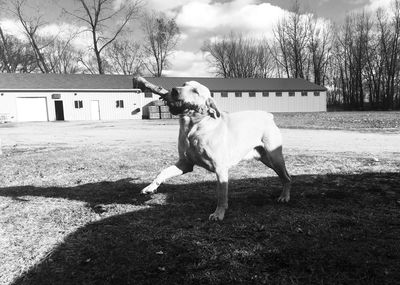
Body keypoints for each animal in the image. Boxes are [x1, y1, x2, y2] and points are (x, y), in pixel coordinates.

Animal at [142, 80, 292, 220]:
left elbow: (221, 195)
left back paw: (284, 196)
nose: (174, 90)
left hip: (275, 157)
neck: (193, 128)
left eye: (195, 91)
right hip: (266, 159)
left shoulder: (220, 169)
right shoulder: (185, 163)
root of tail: (268, 115)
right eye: (184, 84)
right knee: (284, 176)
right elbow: (162, 172)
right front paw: (150, 187)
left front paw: (219, 213)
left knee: (287, 177)